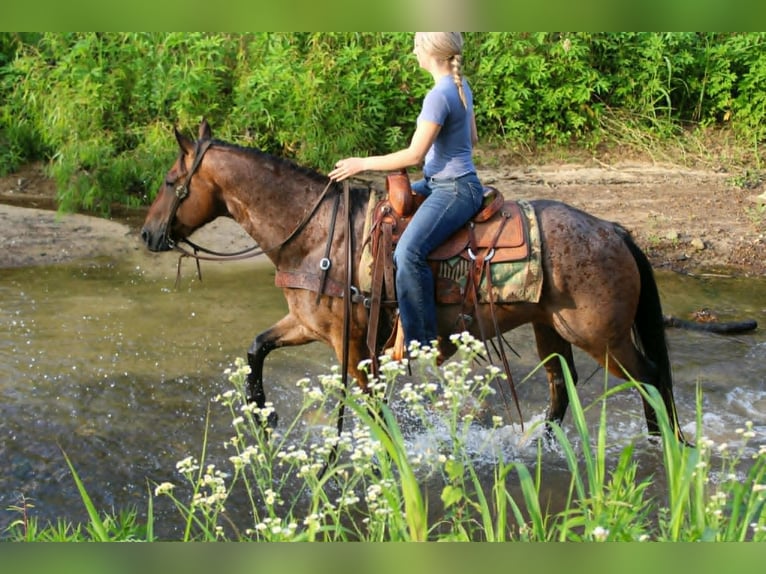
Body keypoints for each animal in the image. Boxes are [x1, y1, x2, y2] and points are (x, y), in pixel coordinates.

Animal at [141, 119, 685, 441]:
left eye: (170, 182)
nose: (147, 234)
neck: (317, 235)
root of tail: (612, 230)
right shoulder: (309, 324)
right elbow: (256, 347)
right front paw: (263, 415)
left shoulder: (348, 342)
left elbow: (370, 406)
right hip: (551, 329)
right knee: (560, 388)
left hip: (602, 337)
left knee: (651, 378)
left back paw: (663, 445)